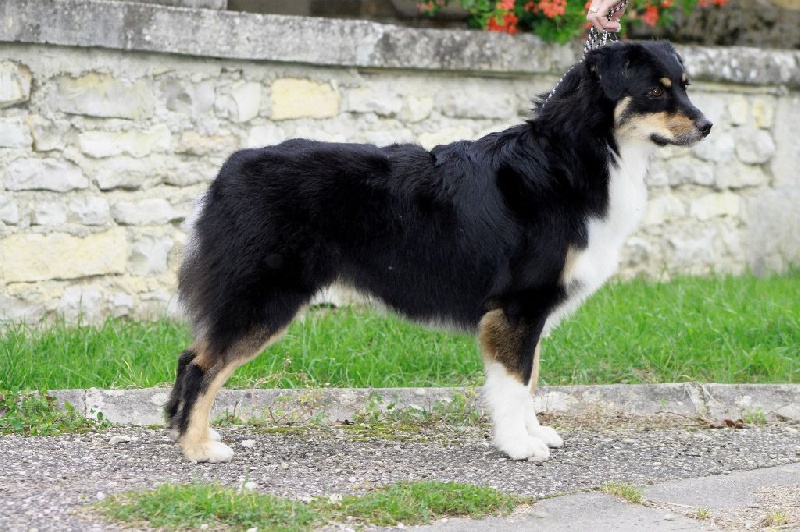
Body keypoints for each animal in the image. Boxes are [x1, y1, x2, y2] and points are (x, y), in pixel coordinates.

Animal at [164, 40, 712, 462]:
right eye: (656, 89)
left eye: (685, 84)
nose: (708, 125)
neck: (577, 154)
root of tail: (230, 167)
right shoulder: (518, 305)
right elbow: (514, 383)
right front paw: (519, 445)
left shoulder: (527, 312)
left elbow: (530, 378)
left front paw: (533, 432)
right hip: (266, 296)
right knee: (201, 367)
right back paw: (199, 448)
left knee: (191, 355)